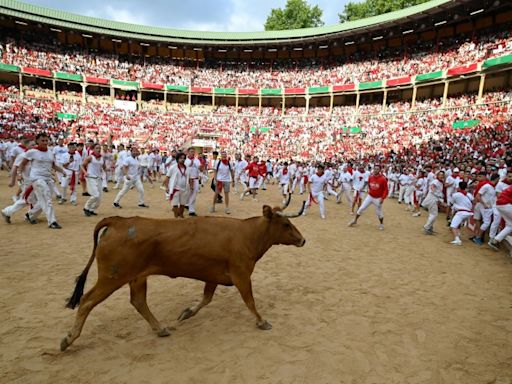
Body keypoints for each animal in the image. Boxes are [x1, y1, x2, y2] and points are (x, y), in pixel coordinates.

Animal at [62, 204, 306, 352]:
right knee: (87, 301)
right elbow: (250, 301)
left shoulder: (213, 276)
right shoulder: (241, 275)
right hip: (111, 277)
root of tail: (119, 221)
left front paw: (186, 313)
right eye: (285, 224)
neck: (246, 234)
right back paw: (69, 338)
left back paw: (160, 329)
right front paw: (262, 321)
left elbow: (206, 299)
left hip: (137, 277)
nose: (302, 240)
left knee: (138, 301)